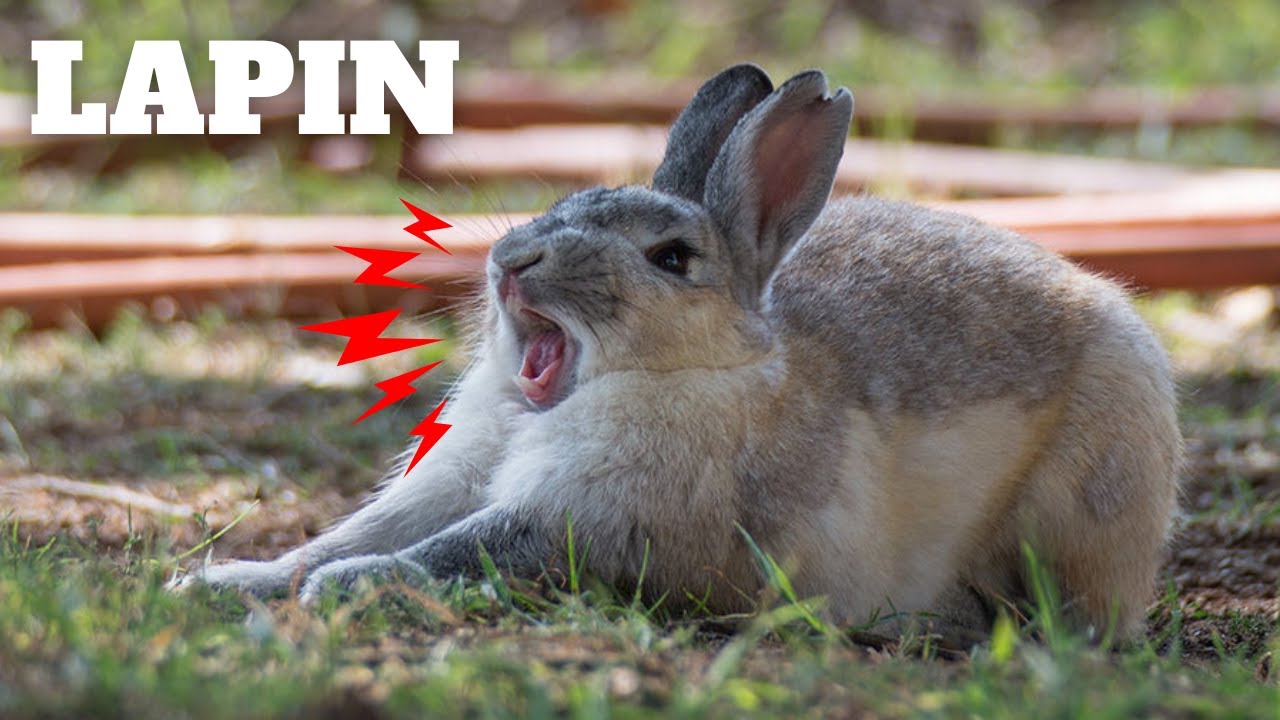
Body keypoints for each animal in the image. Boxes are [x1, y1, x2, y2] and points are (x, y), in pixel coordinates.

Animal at [178, 64, 1181, 641]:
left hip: (1080, 502)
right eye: (568, 202)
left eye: (672, 259)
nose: (514, 260)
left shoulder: (591, 516)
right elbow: (360, 531)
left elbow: (464, 552)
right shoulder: (457, 481)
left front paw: (350, 586)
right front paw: (223, 580)